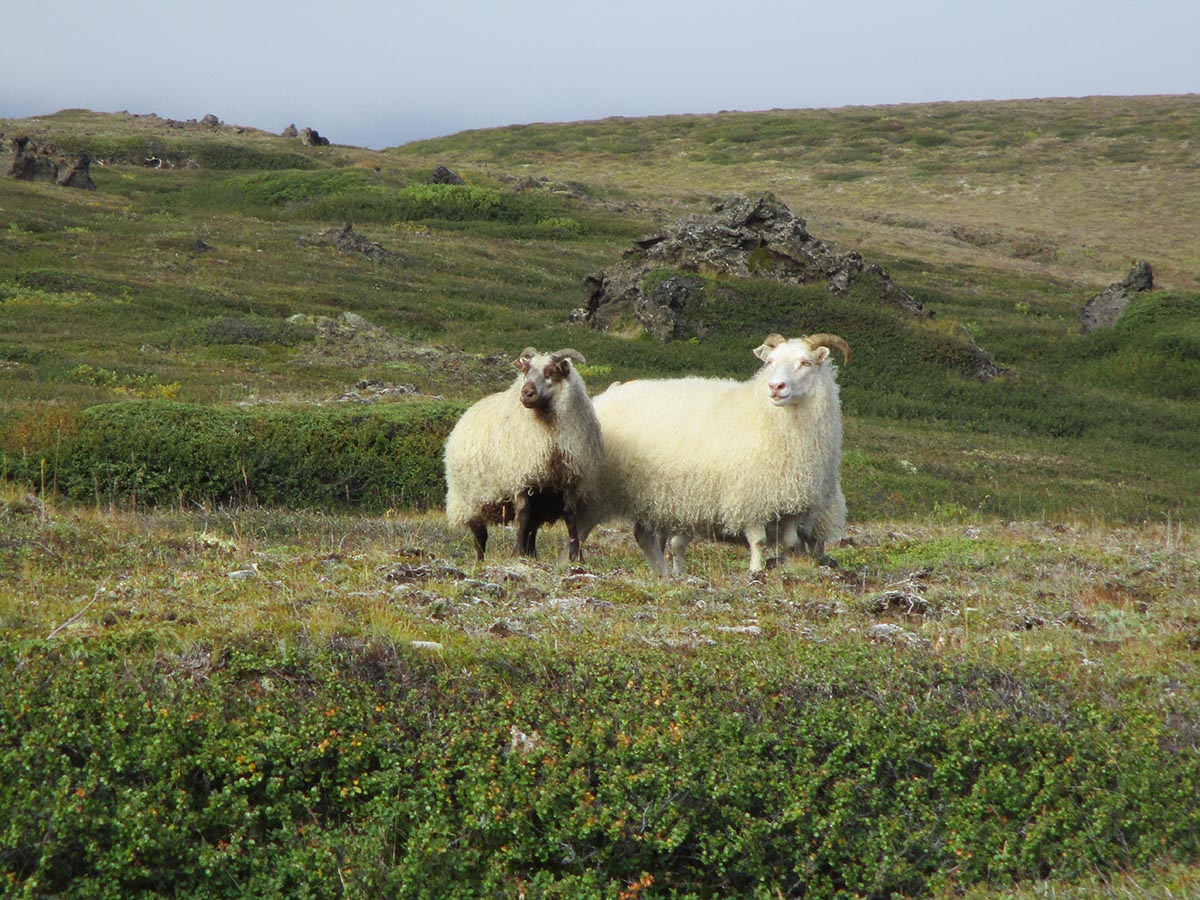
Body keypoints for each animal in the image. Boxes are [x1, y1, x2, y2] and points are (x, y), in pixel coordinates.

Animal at [444, 348, 604, 561]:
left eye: (552, 370)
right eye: (526, 370)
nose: (526, 393)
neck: (549, 435)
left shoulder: (569, 478)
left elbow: (570, 516)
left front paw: (576, 556)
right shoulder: (521, 477)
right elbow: (523, 514)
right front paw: (517, 552)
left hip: (540, 500)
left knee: (531, 529)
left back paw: (532, 554)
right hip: (470, 499)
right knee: (480, 534)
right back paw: (481, 560)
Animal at [583, 333, 849, 578]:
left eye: (806, 362)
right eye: (770, 361)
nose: (775, 387)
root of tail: (605, 396)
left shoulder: (793, 502)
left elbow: (791, 543)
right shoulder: (749, 497)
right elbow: (758, 541)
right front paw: (755, 572)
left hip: (653, 497)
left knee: (644, 537)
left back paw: (666, 574)